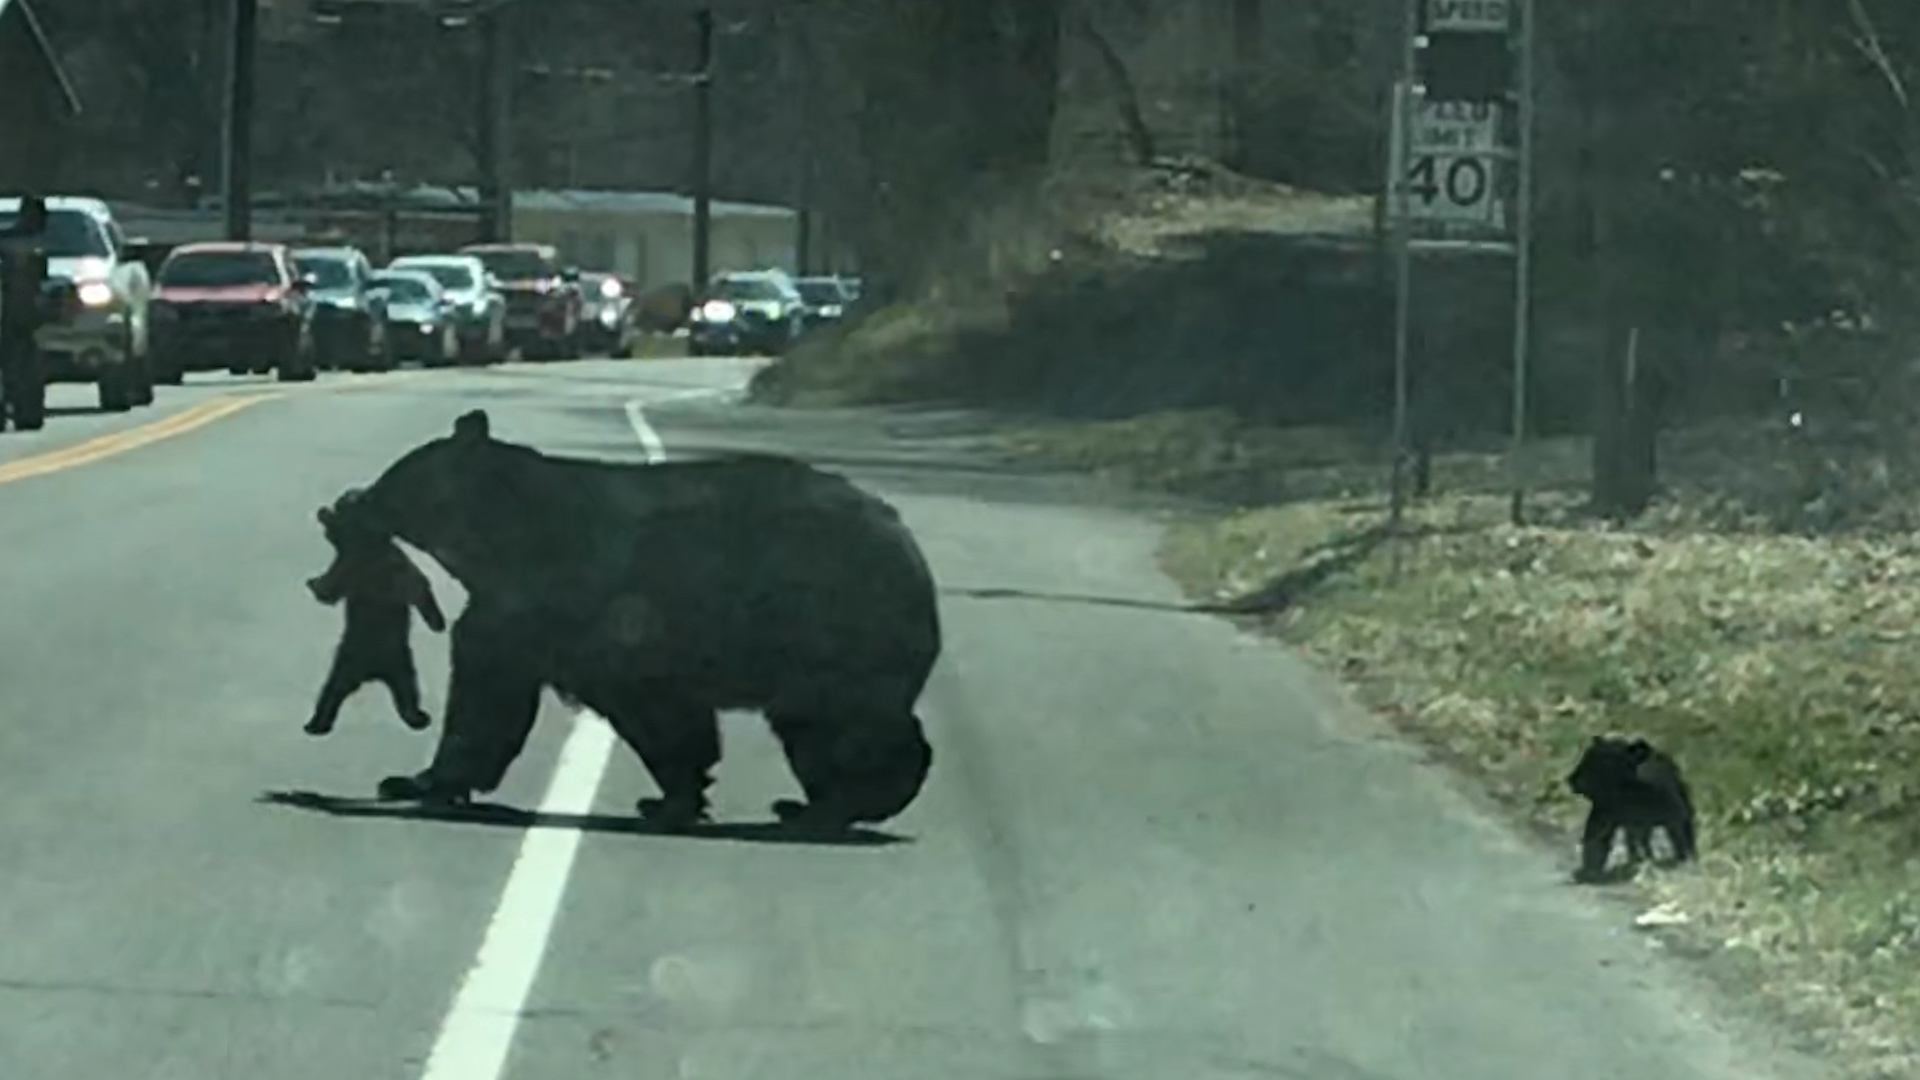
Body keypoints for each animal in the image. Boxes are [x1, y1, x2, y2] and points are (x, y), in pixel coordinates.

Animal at [303, 491, 445, 734]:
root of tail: (372, 672)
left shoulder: (370, 564)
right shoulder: (360, 566)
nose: (323, 509)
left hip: (393, 661)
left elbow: (418, 586)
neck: (370, 549)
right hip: (357, 661)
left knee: (405, 689)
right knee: (333, 690)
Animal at [318, 407, 940, 826]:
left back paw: (856, 798)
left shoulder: (558, 602)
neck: (498, 539)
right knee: (812, 728)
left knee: (852, 722)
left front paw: (416, 779)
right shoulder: (524, 612)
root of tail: (908, 542)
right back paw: (816, 802)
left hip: (833, 625)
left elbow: (503, 694)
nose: (347, 500)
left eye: (392, 478)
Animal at [1566, 730, 1704, 883]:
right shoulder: (1608, 814)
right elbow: (1597, 839)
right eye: (1588, 758)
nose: (1572, 780)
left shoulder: (1672, 814)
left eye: (1594, 761)